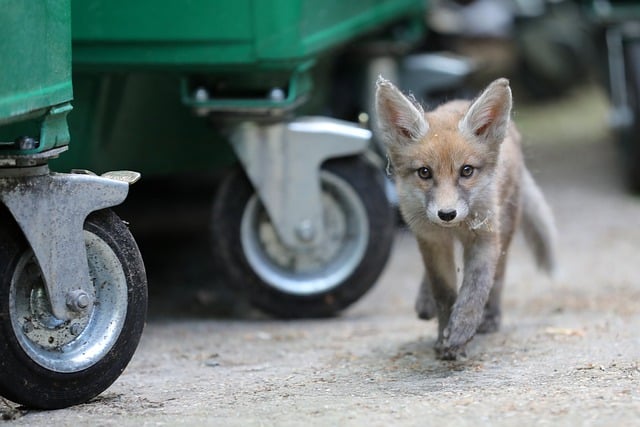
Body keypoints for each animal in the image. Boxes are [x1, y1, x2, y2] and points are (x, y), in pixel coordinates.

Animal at [376, 77, 556, 362]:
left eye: (466, 171)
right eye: (424, 173)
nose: (447, 214)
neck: (457, 227)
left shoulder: (485, 237)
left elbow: (476, 288)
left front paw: (461, 331)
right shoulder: (431, 239)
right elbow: (444, 293)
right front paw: (444, 335)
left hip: (505, 228)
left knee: (498, 277)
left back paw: (490, 318)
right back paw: (425, 301)